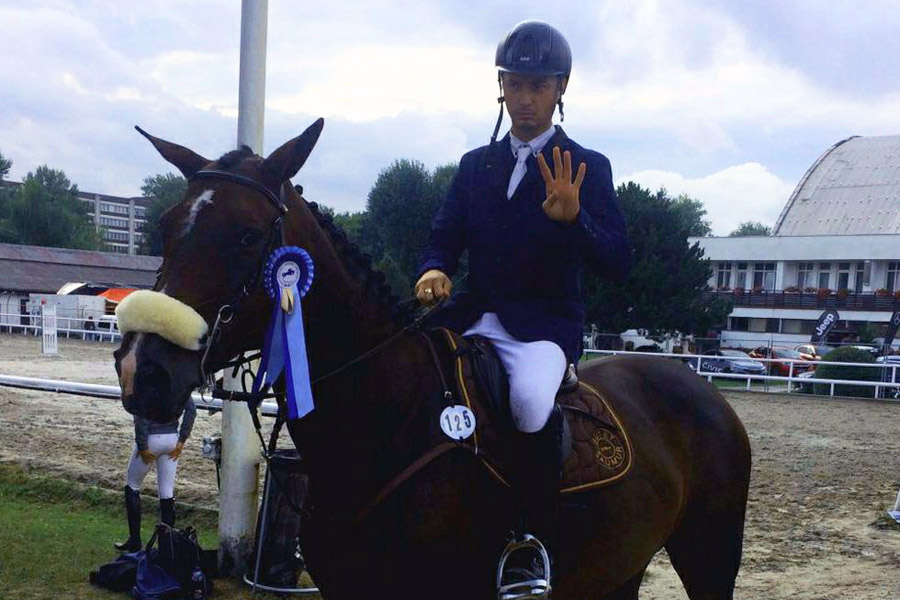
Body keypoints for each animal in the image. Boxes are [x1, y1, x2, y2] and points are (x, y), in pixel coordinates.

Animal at [114, 119, 751, 600]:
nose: (143, 371)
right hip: (621, 566)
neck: (386, 418)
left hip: (709, 555)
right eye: (166, 225)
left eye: (248, 235)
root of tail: (698, 386)